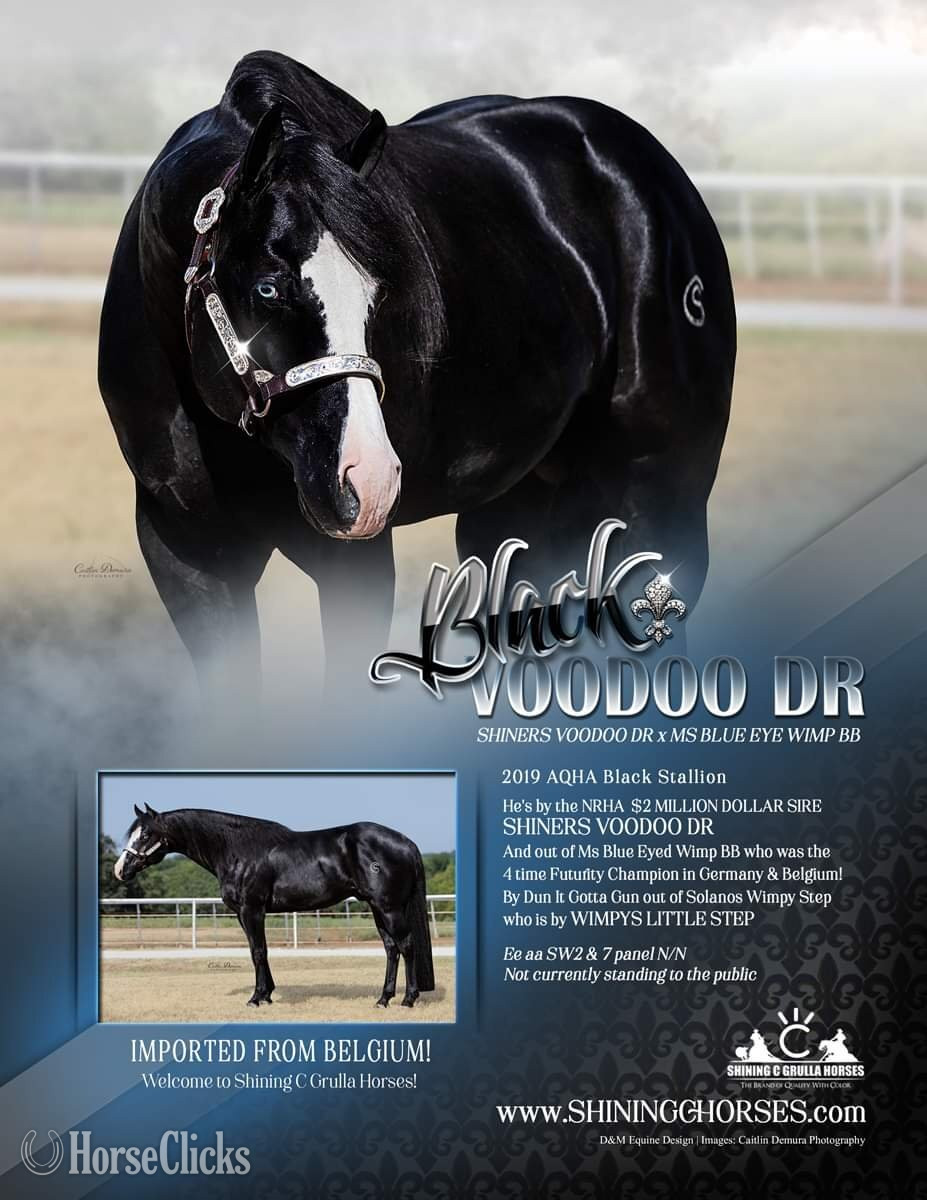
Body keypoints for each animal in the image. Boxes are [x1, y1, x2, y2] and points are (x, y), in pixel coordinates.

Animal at [98, 50, 735, 700]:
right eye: (268, 288)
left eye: (377, 291)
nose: (369, 480)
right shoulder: (188, 554)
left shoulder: (354, 562)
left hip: (660, 486)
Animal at [113, 804, 436, 1008]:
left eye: (146, 834)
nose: (120, 870)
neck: (235, 849)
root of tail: (406, 842)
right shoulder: (245, 914)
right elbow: (259, 951)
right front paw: (267, 994)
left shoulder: (251, 910)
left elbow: (257, 952)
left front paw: (256, 998)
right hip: (377, 908)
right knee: (391, 949)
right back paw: (383, 999)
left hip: (389, 908)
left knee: (406, 946)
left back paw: (408, 999)